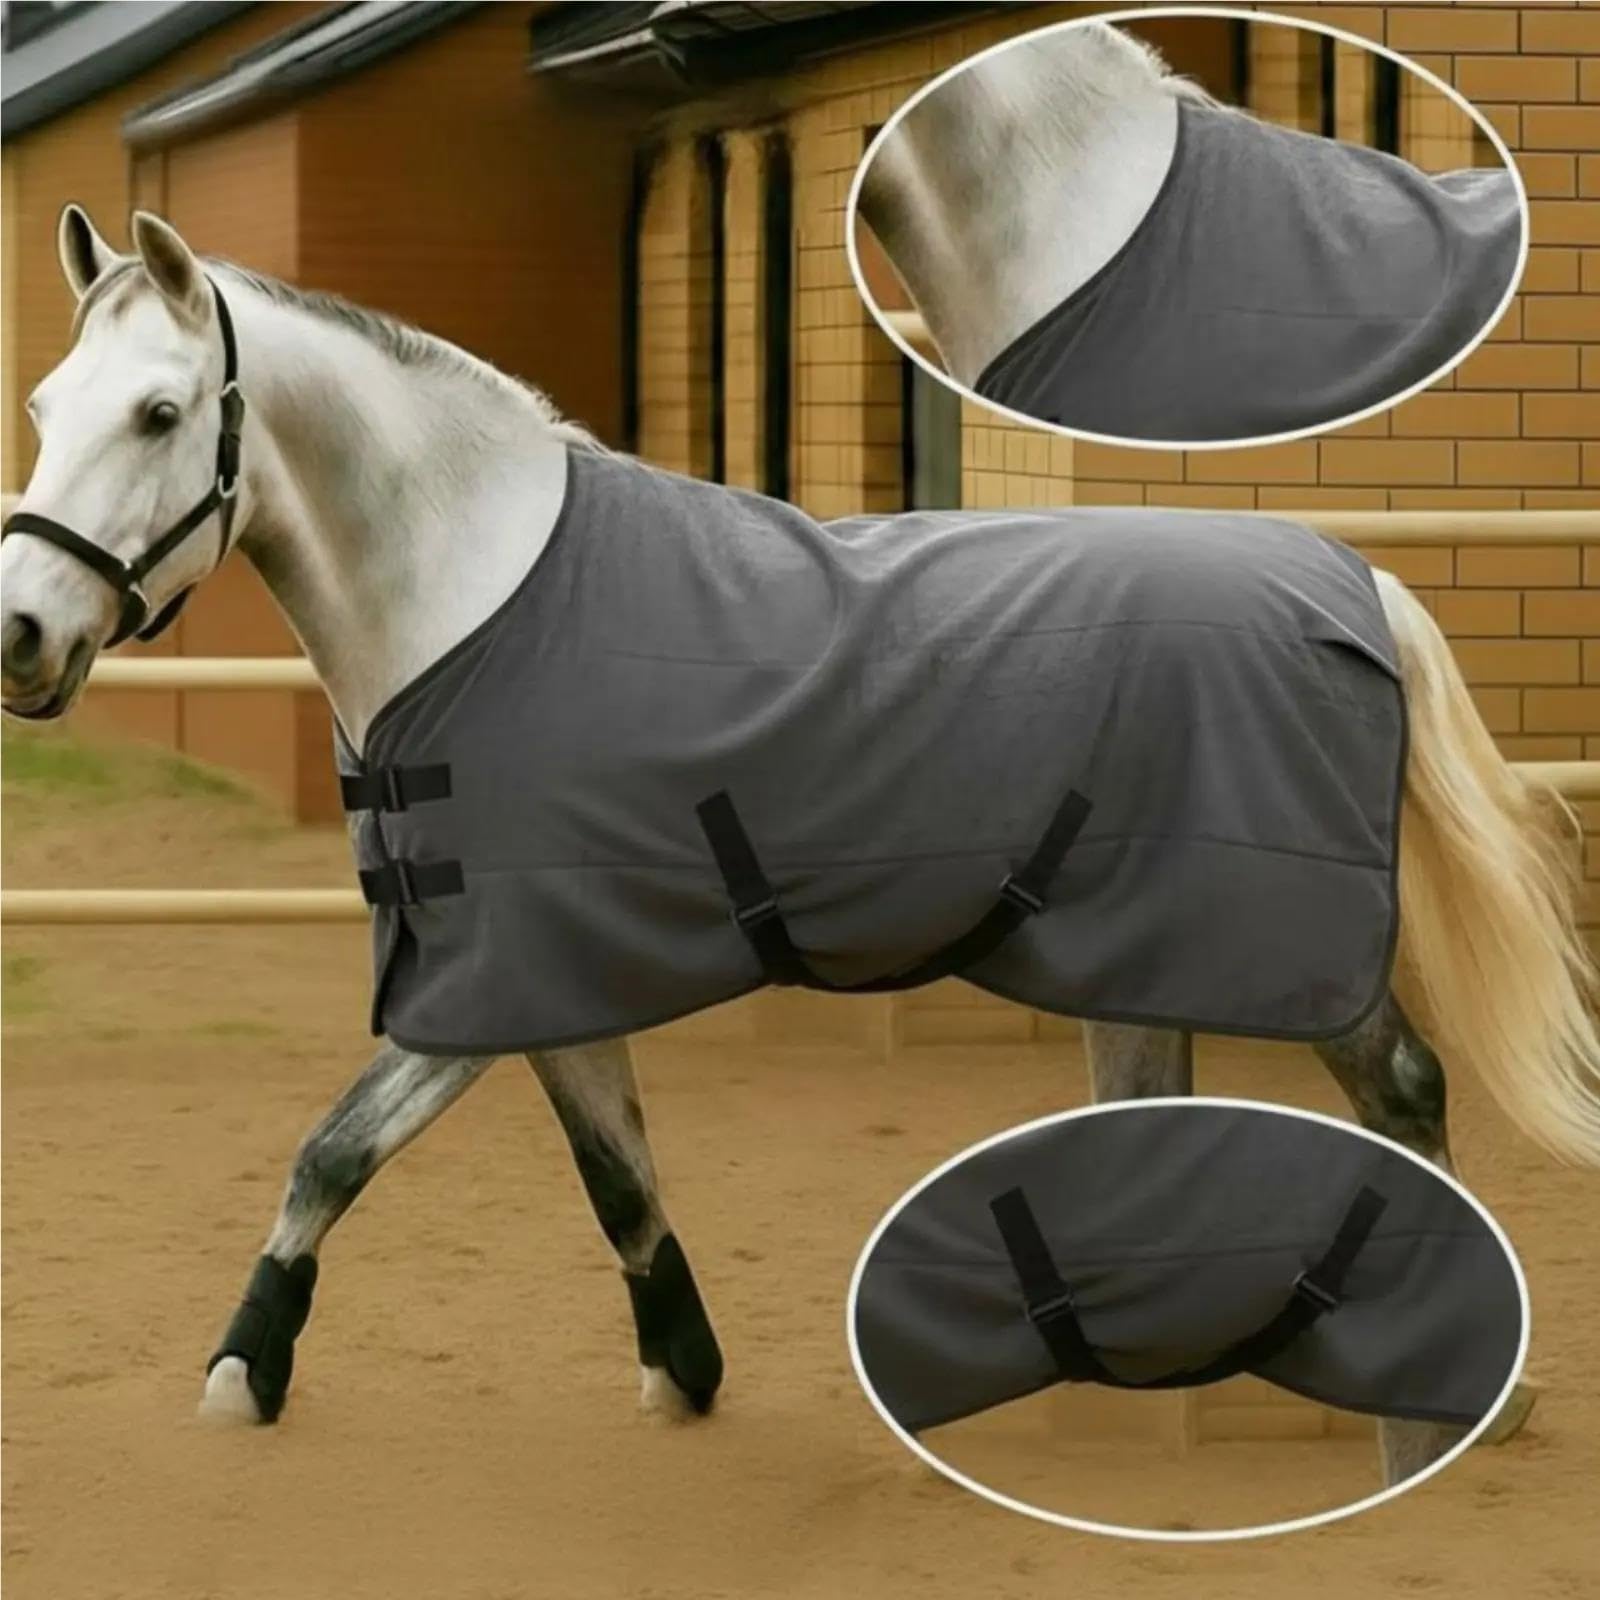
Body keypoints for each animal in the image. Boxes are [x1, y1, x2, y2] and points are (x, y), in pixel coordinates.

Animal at [3, 207, 1594, 1495]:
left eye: (158, 412)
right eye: (46, 404)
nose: (22, 633)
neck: (477, 599)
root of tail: (1348, 579)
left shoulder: (487, 975)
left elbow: (331, 1149)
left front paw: (242, 1374)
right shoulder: (542, 980)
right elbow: (616, 1175)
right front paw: (685, 1377)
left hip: (1273, 938)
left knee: (1402, 1089)